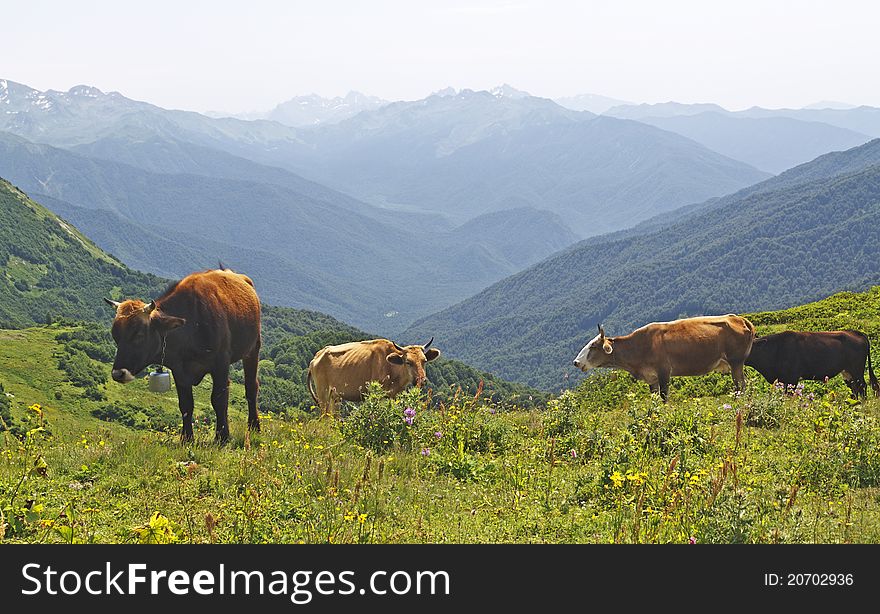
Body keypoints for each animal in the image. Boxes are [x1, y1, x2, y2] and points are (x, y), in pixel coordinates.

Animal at [104, 270, 262, 442]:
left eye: (138, 334)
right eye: (115, 335)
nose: (118, 373)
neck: (191, 328)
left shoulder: (220, 363)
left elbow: (219, 399)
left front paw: (222, 437)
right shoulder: (179, 370)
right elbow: (186, 404)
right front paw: (187, 438)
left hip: (253, 348)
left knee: (251, 387)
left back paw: (254, 427)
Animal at [306, 340, 440, 416]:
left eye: (424, 360)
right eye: (408, 362)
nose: (422, 380)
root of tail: (317, 356)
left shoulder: (394, 395)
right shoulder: (377, 395)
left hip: (335, 396)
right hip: (323, 394)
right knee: (324, 417)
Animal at [572, 316, 756, 402]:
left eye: (593, 346)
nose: (575, 362)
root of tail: (739, 318)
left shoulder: (664, 371)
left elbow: (663, 397)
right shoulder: (651, 378)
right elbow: (654, 399)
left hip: (736, 361)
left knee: (740, 384)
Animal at [744, 332, 880, 400]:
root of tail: (857, 333)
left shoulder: (792, 378)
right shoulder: (782, 379)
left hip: (857, 370)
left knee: (862, 386)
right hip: (847, 372)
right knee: (854, 388)